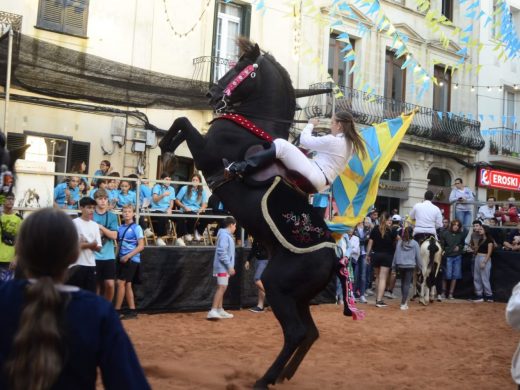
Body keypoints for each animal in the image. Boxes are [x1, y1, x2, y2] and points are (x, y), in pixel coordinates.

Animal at [159, 38, 342, 388]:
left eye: (241, 68)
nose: (212, 94)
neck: (253, 128)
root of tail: (335, 259)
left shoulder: (207, 154)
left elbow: (182, 123)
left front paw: (164, 152)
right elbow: (181, 123)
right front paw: (164, 151)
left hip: (278, 289)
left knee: (296, 333)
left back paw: (265, 378)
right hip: (298, 297)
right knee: (310, 333)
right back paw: (284, 375)